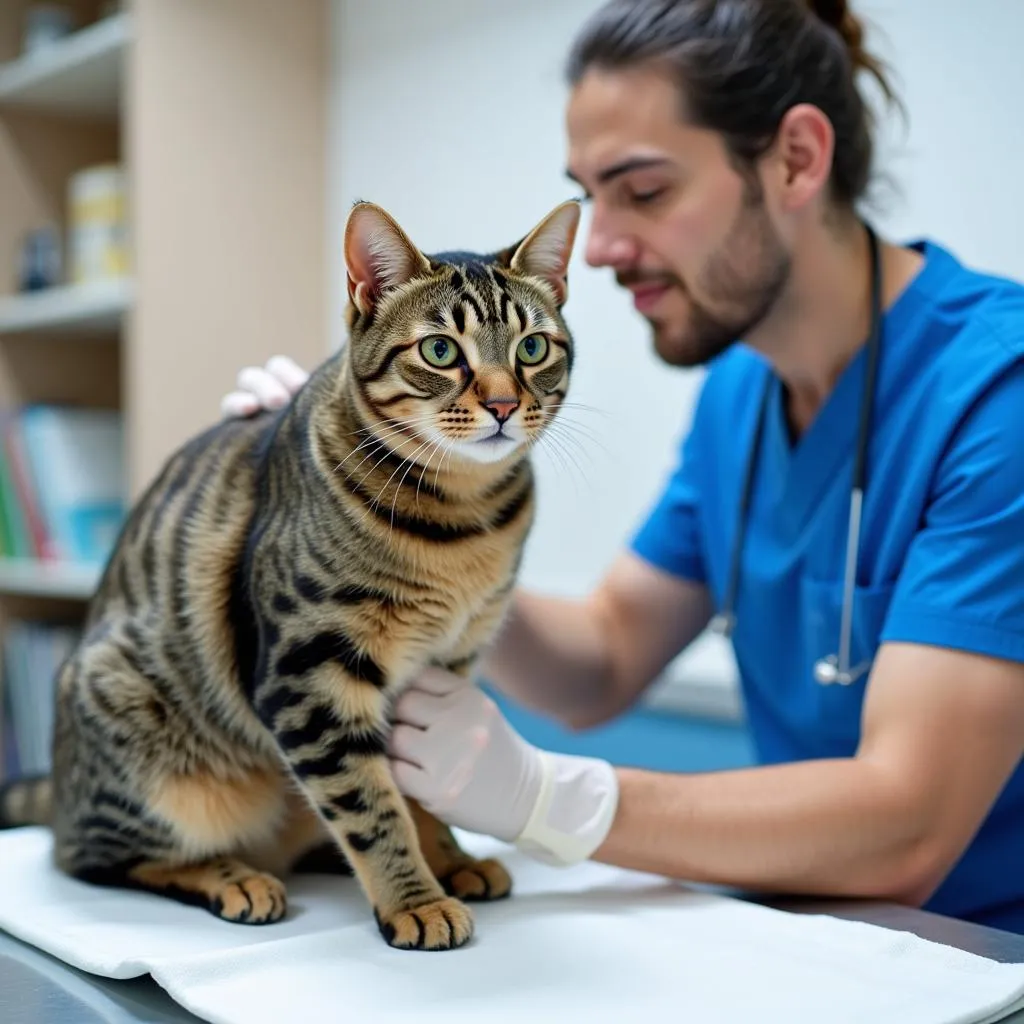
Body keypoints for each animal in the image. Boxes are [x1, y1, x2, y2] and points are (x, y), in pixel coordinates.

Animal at [0, 199, 581, 950]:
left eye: (533, 349)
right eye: (440, 351)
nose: (506, 405)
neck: (465, 520)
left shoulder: (444, 673)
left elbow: (418, 789)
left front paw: (448, 857)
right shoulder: (313, 671)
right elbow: (372, 805)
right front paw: (415, 899)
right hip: (139, 739)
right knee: (94, 856)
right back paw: (233, 878)